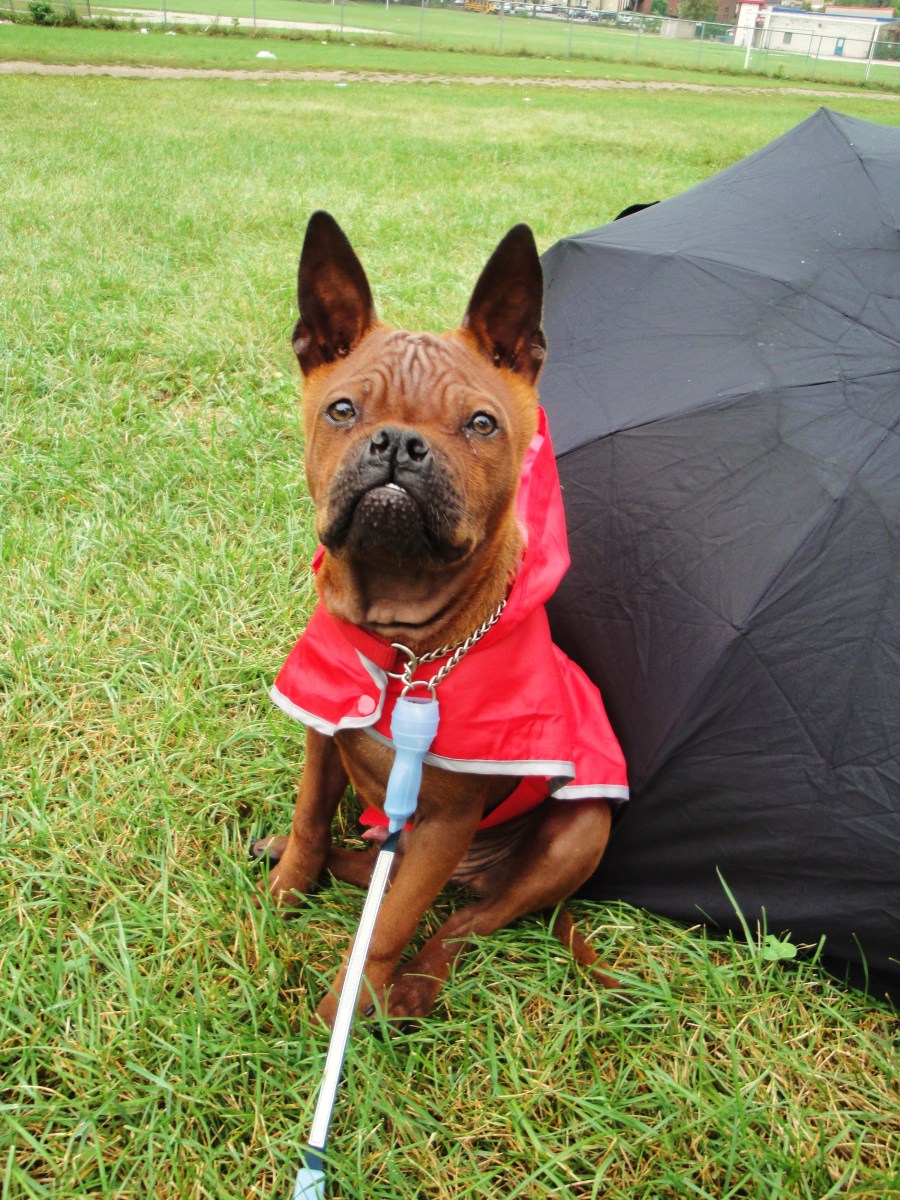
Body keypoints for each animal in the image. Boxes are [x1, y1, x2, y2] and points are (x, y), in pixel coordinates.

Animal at [255, 213, 628, 1022]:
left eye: (482, 423)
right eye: (342, 410)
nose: (398, 443)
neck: (403, 645)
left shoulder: (445, 822)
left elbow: (390, 926)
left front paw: (348, 1007)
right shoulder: (323, 735)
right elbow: (308, 820)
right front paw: (289, 886)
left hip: (576, 832)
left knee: (468, 917)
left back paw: (418, 985)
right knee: (373, 867)